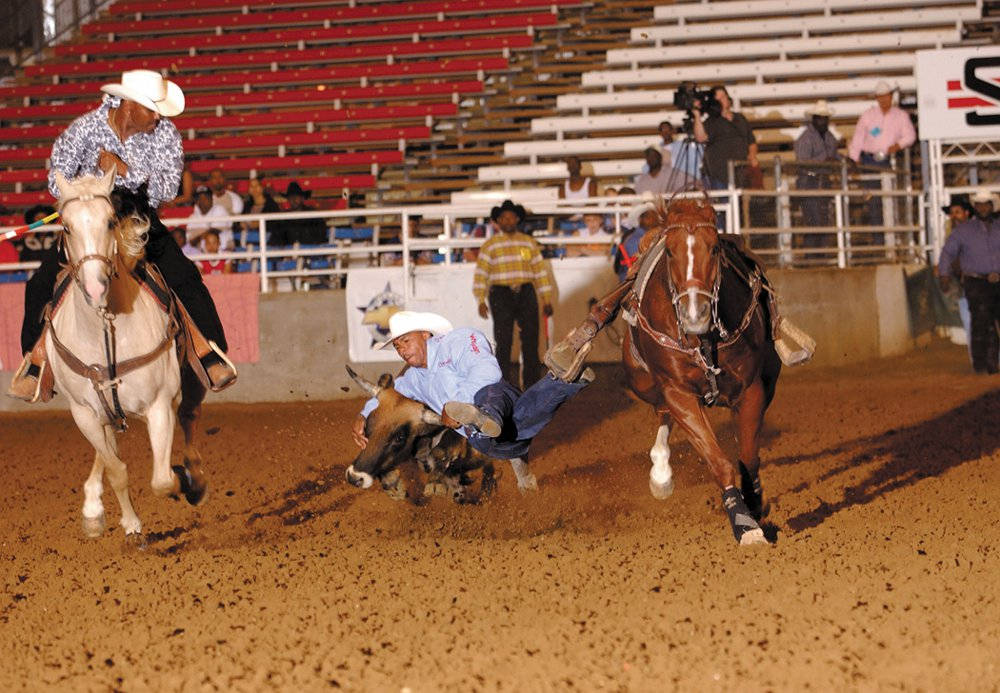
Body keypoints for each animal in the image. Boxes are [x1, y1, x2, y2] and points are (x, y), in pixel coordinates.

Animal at [48, 170, 207, 544]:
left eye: (109, 222)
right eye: (66, 227)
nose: (95, 288)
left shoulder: (160, 404)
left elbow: (162, 480)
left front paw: (183, 480)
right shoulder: (84, 413)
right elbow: (117, 469)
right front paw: (131, 526)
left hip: (189, 382)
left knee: (189, 416)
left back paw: (193, 476)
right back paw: (93, 508)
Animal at [624, 195, 780, 548]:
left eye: (714, 248)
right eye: (670, 251)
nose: (694, 315)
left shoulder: (751, 389)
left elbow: (748, 456)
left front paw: (755, 503)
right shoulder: (678, 393)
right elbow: (718, 461)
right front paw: (745, 524)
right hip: (643, 382)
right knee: (663, 412)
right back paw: (661, 474)